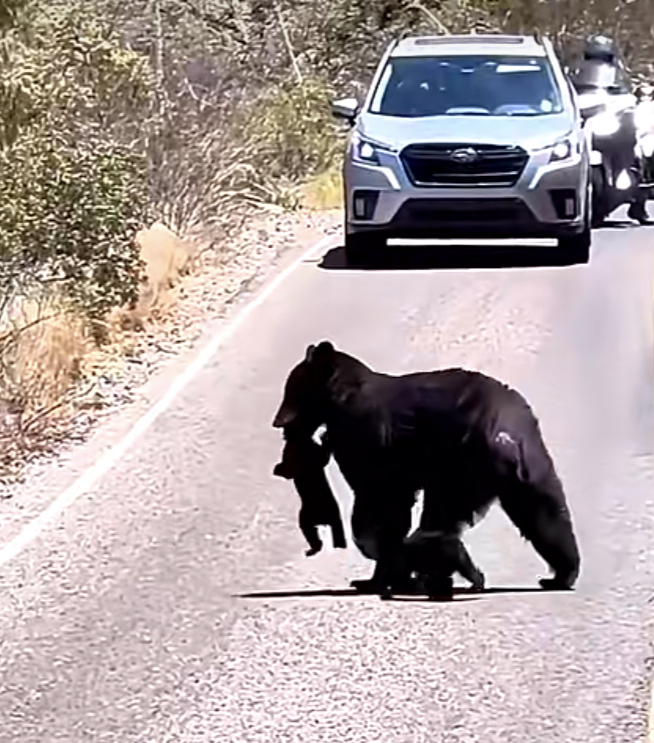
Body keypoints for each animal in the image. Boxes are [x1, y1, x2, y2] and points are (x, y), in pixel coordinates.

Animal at [272, 342, 584, 600]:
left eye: (293, 390)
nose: (278, 423)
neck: (340, 400)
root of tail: (505, 437)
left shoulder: (366, 438)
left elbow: (378, 501)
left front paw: (377, 569)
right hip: (530, 465)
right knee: (545, 513)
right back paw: (560, 575)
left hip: (460, 466)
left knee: (440, 519)